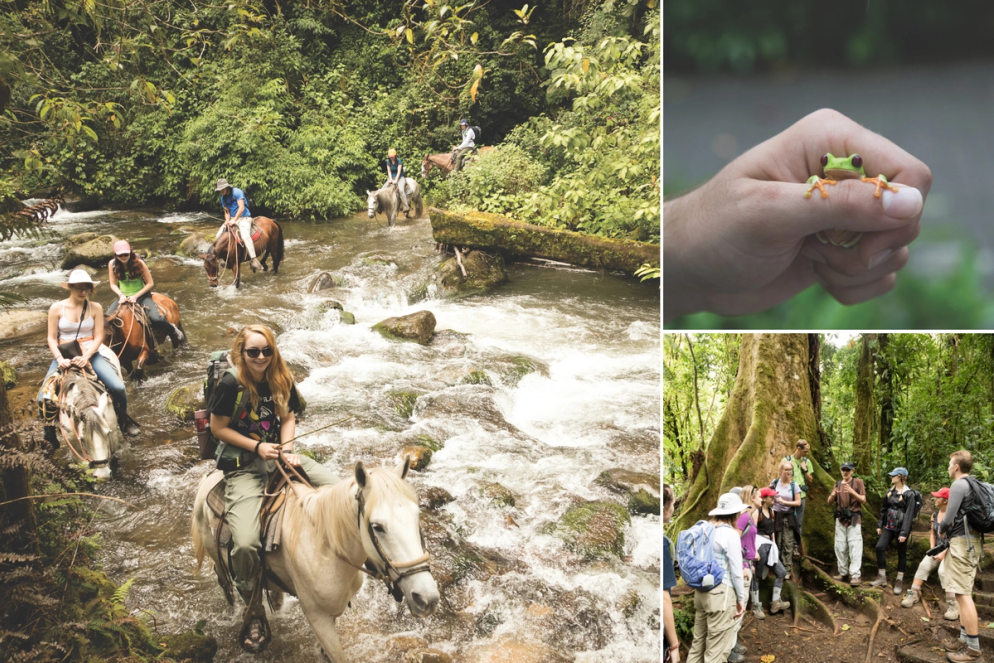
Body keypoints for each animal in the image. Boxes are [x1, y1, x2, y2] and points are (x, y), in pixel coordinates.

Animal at [192, 456, 440, 663]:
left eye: (416, 515)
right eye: (377, 527)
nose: (427, 599)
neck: (326, 550)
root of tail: (210, 476)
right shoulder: (317, 616)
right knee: (228, 580)